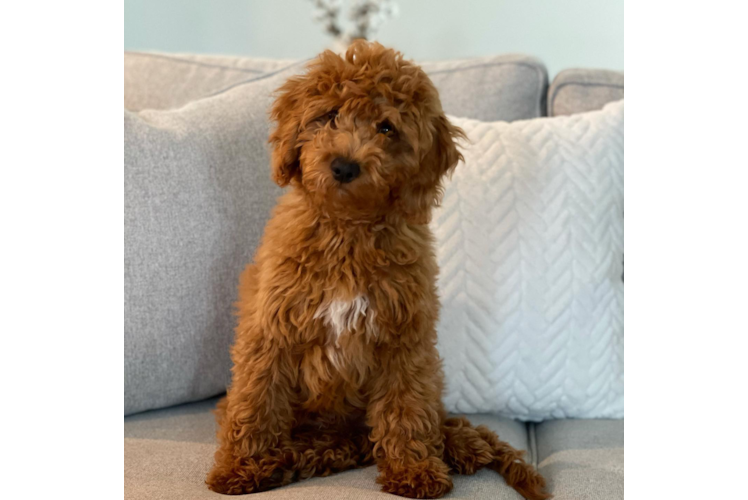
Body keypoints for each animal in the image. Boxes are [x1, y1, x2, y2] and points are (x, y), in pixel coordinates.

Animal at [205, 43, 548, 500]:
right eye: (329, 115)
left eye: (386, 128)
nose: (344, 166)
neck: (348, 229)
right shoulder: (271, 331)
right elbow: (257, 400)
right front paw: (242, 466)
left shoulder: (406, 338)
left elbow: (407, 406)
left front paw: (414, 470)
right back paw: (290, 459)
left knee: (427, 419)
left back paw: (459, 446)